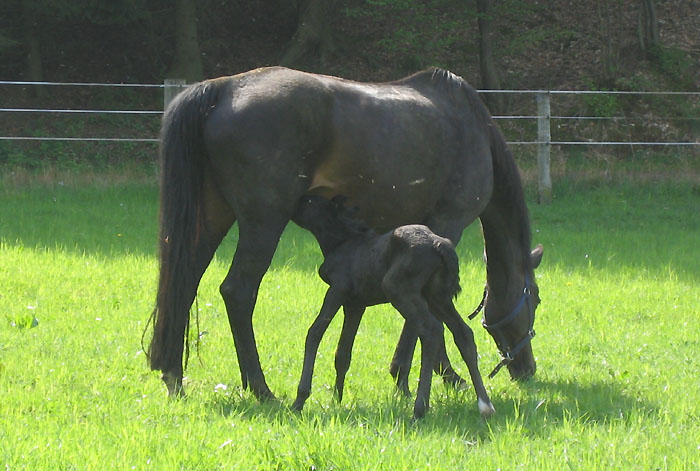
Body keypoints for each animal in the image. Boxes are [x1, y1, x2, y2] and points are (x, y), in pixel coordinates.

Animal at [292, 195, 494, 420]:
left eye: (310, 201)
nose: (295, 205)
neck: (342, 242)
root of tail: (440, 245)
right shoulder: (355, 304)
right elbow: (343, 352)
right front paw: (337, 400)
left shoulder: (337, 290)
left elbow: (315, 333)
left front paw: (300, 399)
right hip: (437, 296)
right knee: (463, 333)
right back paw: (485, 405)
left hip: (399, 290)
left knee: (431, 330)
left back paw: (419, 409)